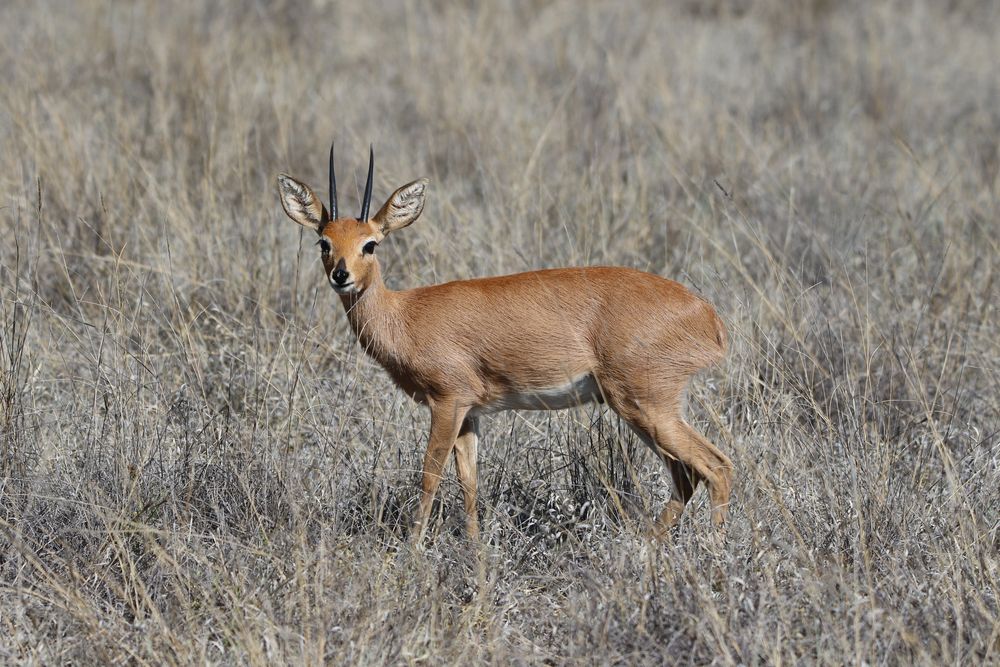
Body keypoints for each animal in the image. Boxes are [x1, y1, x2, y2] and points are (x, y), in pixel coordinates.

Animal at [278, 146, 732, 544]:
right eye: (324, 241)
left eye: (370, 243)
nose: (341, 276)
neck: (406, 315)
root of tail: (707, 315)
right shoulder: (470, 413)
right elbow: (469, 482)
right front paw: (475, 550)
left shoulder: (447, 402)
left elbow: (429, 475)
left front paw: (411, 550)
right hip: (643, 409)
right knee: (688, 475)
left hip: (646, 404)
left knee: (716, 467)